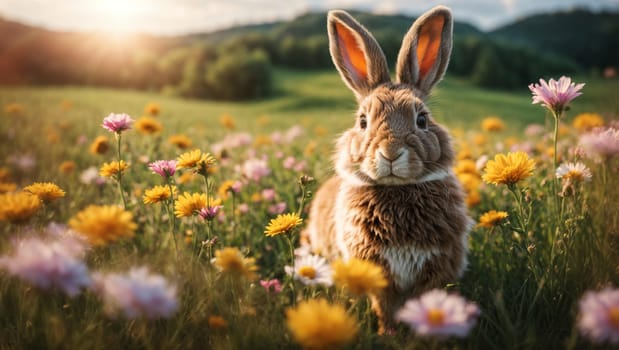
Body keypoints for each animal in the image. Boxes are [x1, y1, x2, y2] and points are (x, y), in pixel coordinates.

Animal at [306, 6, 474, 334]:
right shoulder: (377, 272)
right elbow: (384, 306)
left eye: (422, 119)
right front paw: (389, 334)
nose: (391, 152)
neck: (398, 191)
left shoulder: (434, 268)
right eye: (362, 121)